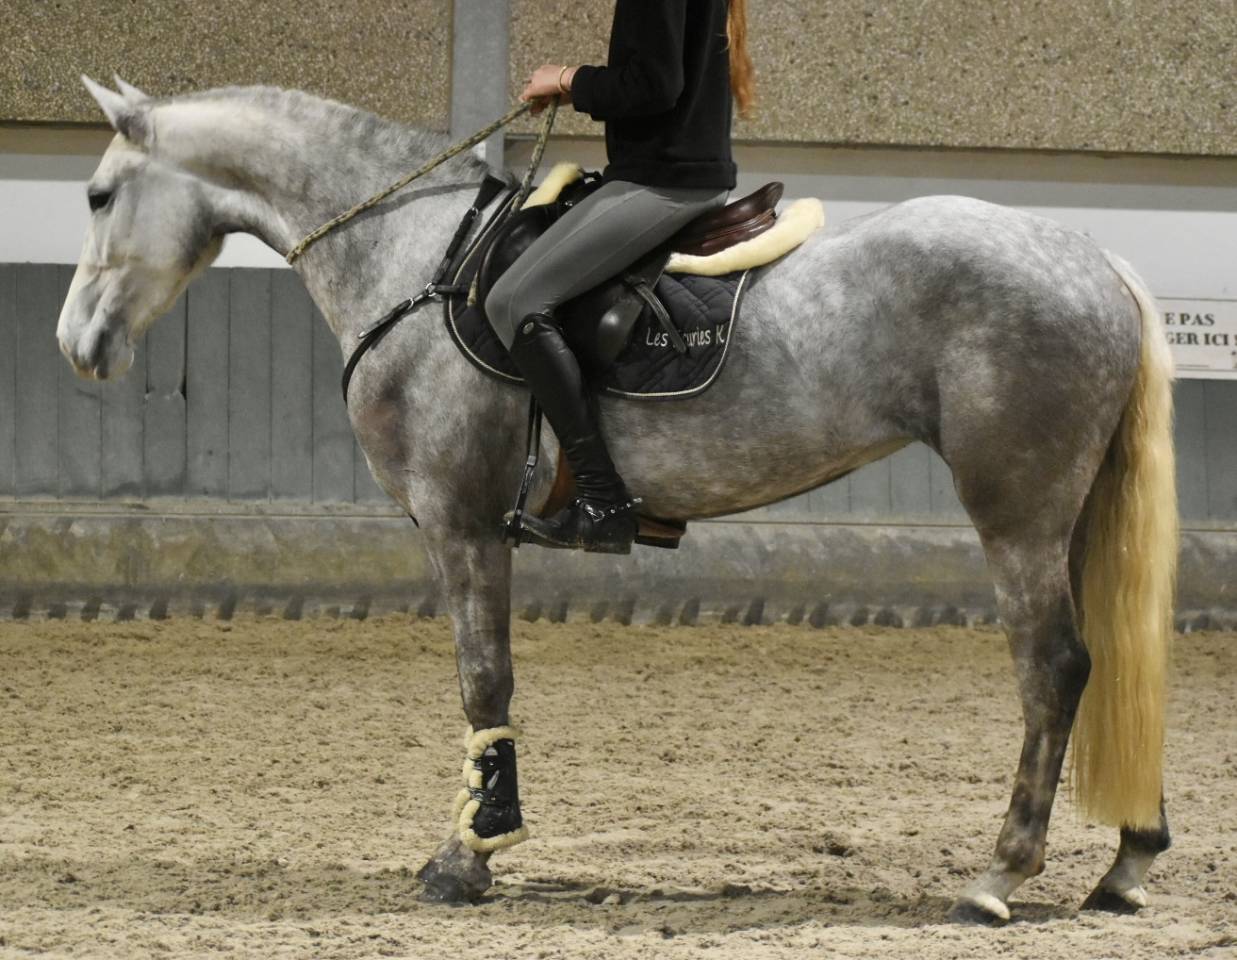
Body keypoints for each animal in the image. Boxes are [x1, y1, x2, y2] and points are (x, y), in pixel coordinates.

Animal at [56, 78, 1177, 923]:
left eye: (101, 196)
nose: (78, 346)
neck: (413, 254)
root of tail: (1093, 258)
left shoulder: (460, 524)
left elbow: (484, 683)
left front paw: (468, 856)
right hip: (1066, 511)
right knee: (1113, 657)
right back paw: (1125, 862)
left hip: (1015, 511)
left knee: (1054, 667)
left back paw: (998, 876)